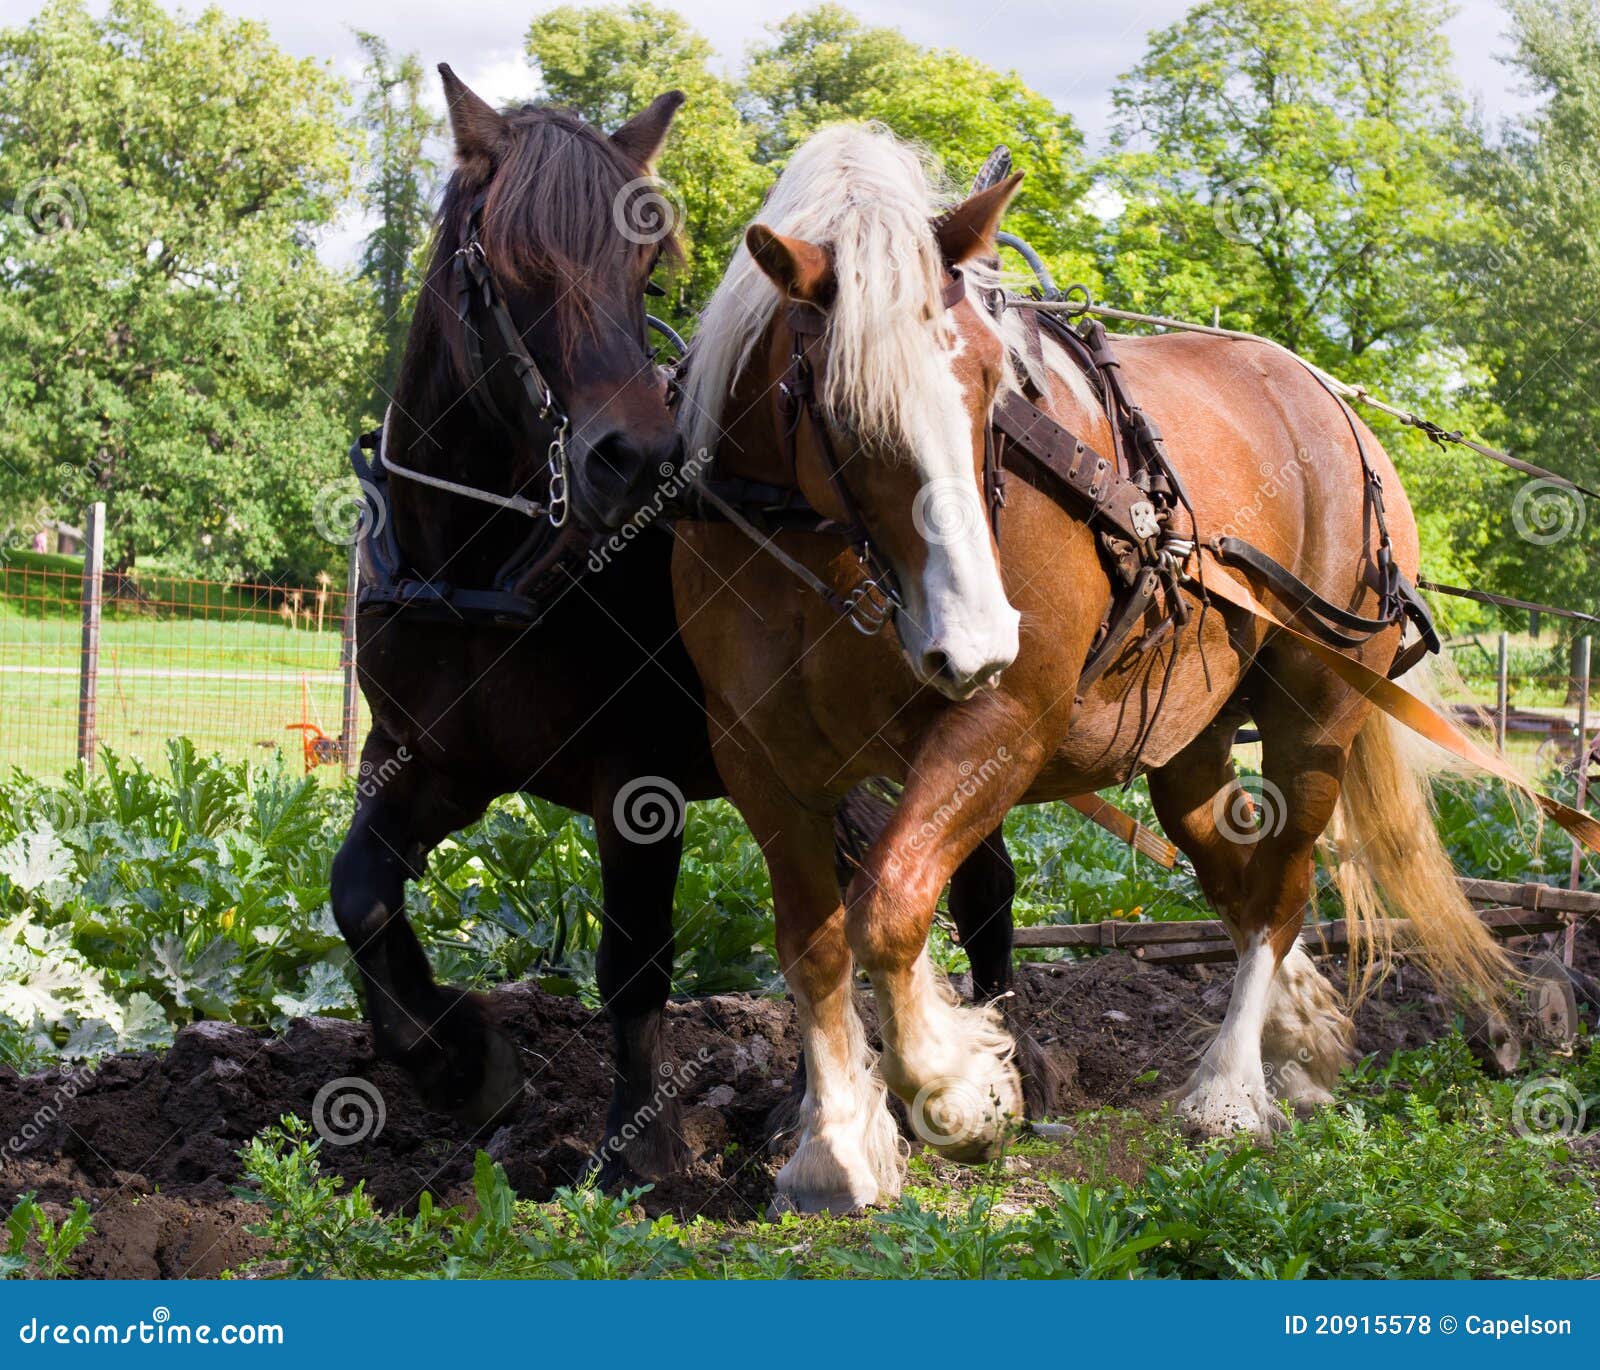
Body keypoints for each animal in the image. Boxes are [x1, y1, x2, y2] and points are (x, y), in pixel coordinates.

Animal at [672, 125, 1510, 1209]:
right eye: (844, 411)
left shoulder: (1004, 722)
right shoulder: (758, 758)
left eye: (994, 382)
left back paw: (1229, 1093)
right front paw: (834, 1149)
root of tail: (1333, 405)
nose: (978, 639)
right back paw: (1298, 1037)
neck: (819, 549)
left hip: (1314, 711)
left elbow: (890, 908)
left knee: (1282, 888)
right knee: (1235, 878)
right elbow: (810, 948)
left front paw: (958, 1090)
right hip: (1190, 740)